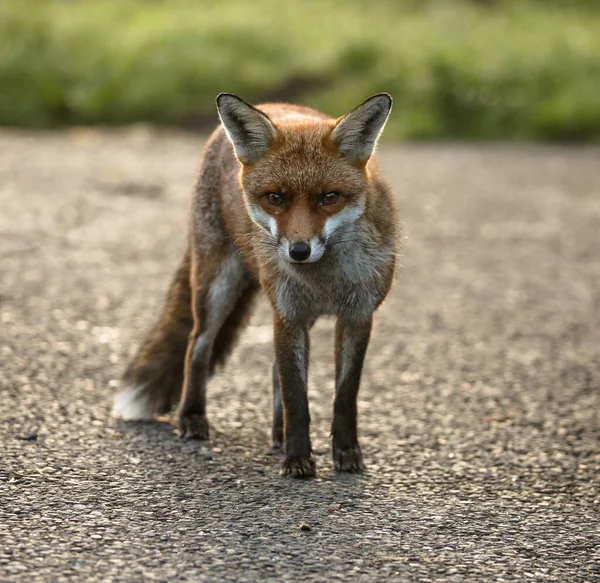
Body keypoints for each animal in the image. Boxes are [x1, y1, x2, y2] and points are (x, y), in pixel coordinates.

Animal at [115, 92, 400, 480]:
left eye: (330, 197)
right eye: (275, 198)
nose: (298, 251)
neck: (326, 280)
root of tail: (271, 102)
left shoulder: (357, 317)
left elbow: (343, 396)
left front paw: (345, 454)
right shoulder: (288, 314)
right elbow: (297, 398)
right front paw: (298, 460)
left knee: (272, 370)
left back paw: (277, 434)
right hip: (217, 288)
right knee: (197, 347)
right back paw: (192, 417)